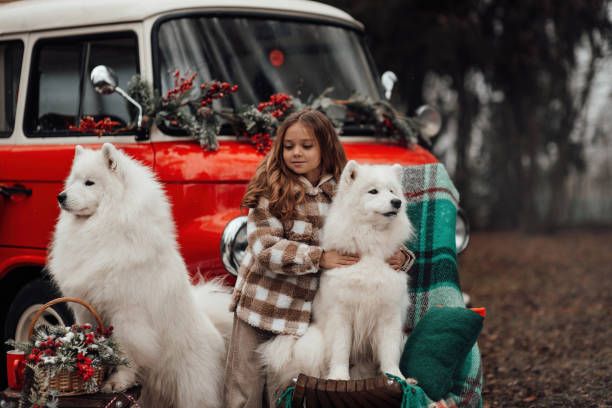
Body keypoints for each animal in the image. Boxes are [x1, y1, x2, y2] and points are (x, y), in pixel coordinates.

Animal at [47, 144, 232, 408]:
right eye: (72, 181)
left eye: (89, 183)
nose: (60, 196)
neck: (103, 227)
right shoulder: (87, 308)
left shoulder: (128, 316)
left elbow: (126, 353)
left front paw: (117, 382)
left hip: (190, 386)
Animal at [260, 160, 414, 388]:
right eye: (373, 191)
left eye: (392, 191)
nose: (397, 202)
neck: (370, 246)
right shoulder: (342, 314)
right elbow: (341, 350)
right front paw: (339, 378)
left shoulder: (389, 314)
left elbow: (389, 351)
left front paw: (397, 379)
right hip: (313, 343)